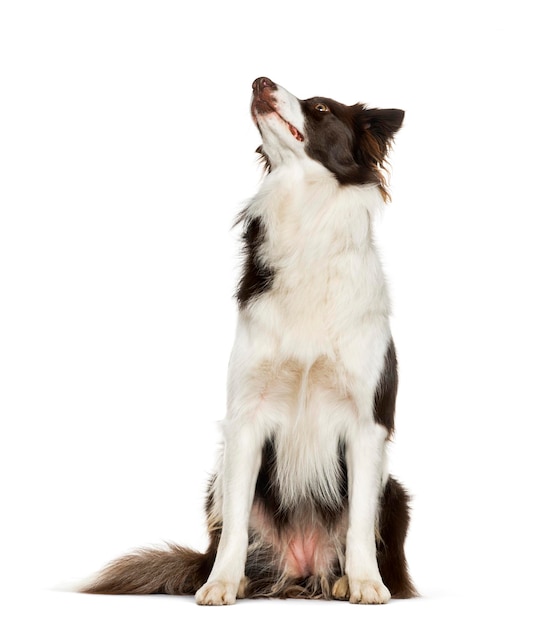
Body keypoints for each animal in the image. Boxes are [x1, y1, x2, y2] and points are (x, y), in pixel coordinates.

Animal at [83, 75, 414, 604]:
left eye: (321, 108)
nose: (261, 80)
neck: (306, 217)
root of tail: (301, 568)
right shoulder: (247, 419)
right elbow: (236, 524)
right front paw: (220, 584)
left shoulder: (368, 423)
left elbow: (361, 522)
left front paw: (366, 582)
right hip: (215, 481)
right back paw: (240, 578)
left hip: (396, 492)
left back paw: (344, 580)